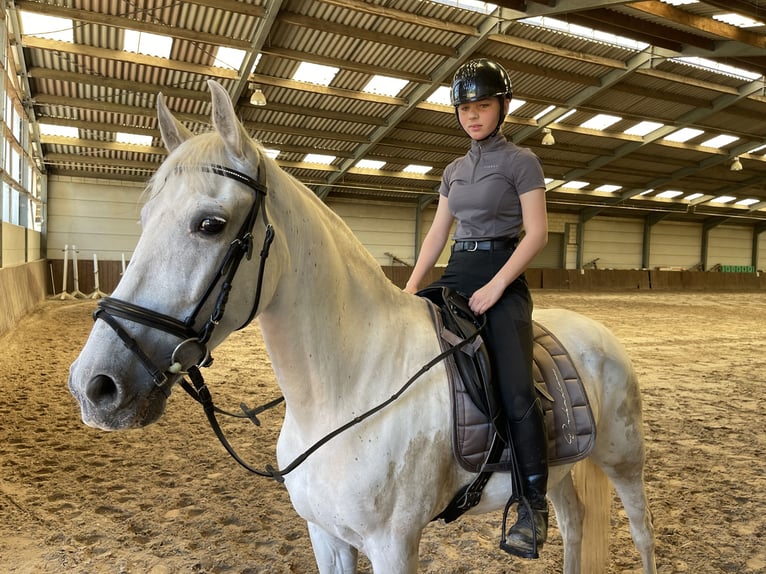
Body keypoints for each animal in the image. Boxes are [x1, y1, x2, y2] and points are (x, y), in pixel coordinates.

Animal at [66, 82, 656, 574]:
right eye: (145, 222)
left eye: (210, 224)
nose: (95, 386)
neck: (347, 390)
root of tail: (597, 332)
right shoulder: (326, 537)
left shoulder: (393, 545)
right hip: (563, 471)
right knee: (575, 523)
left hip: (623, 460)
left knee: (642, 533)